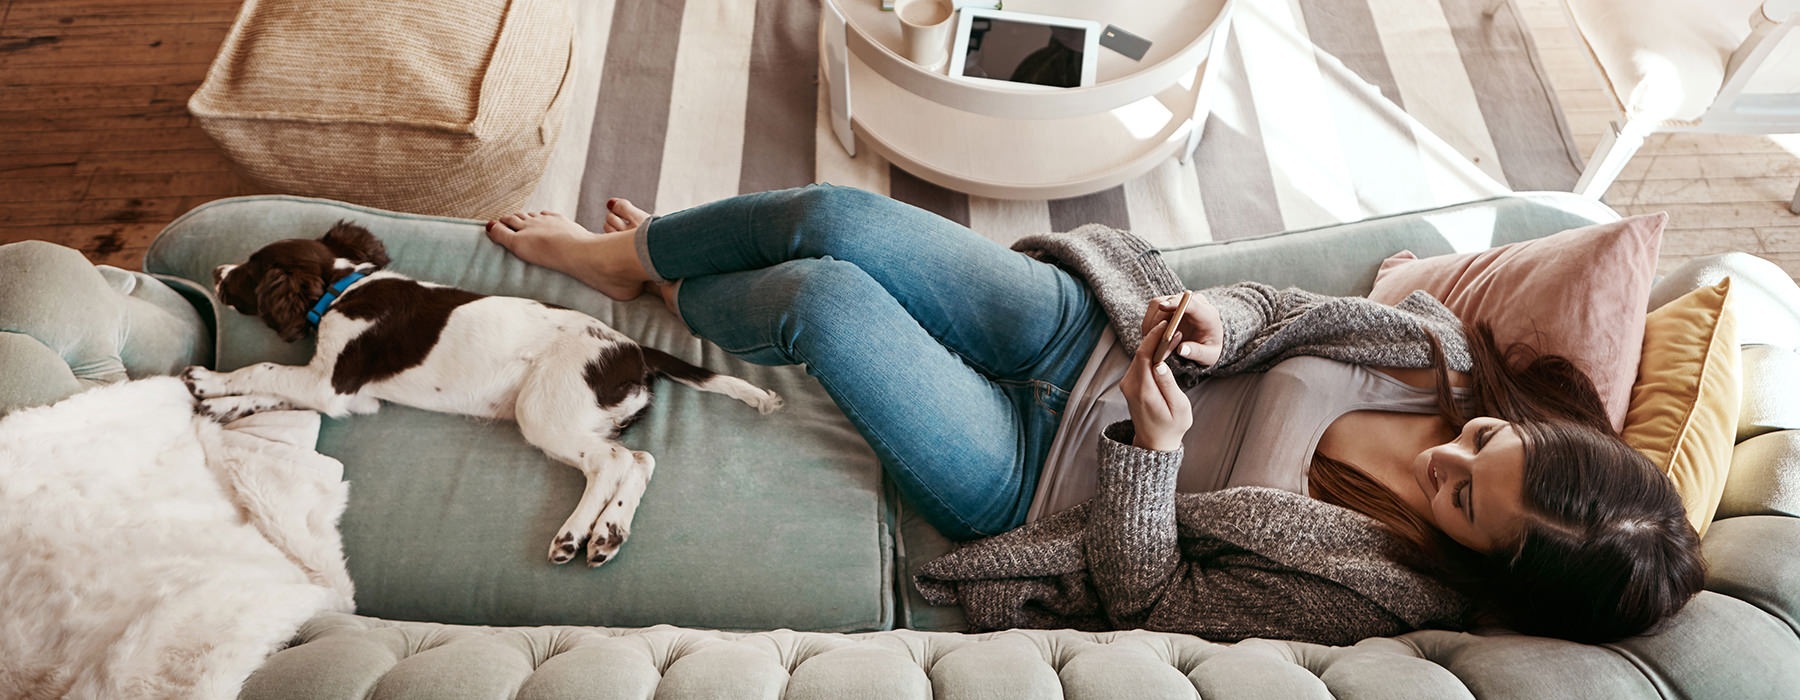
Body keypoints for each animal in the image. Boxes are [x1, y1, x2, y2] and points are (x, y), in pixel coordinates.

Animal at [186, 224, 784, 568]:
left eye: (249, 270)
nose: (215, 269)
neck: (342, 288)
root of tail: (633, 348)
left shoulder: (331, 383)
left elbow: (267, 368)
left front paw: (211, 381)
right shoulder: (345, 394)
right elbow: (272, 394)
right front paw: (220, 403)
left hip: (543, 410)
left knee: (612, 463)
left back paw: (576, 534)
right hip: (586, 417)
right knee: (639, 460)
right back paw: (608, 533)